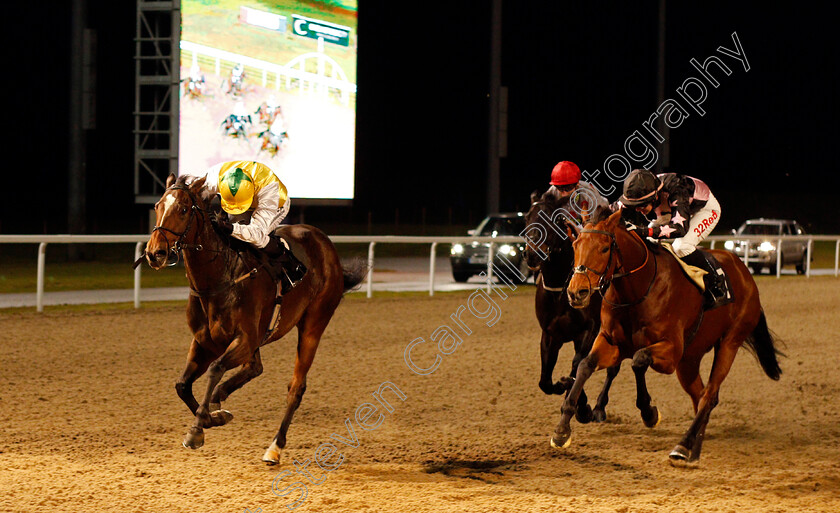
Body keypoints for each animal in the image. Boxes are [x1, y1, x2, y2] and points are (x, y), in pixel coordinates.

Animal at [144, 174, 364, 462]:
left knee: (296, 387)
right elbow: (182, 385)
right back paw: (221, 396)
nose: (154, 253)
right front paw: (215, 416)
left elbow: (215, 369)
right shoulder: (204, 342)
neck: (221, 276)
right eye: (157, 206)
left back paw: (275, 446)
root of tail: (327, 247)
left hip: (314, 324)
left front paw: (197, 430)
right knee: (256, 367)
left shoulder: (245, 339)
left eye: (182, 209)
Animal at [520, 190, 620, 422]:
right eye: (527, 217)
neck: (560, 289)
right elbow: (545, 381)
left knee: (613, 369)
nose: (532, 254)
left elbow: (577, 364)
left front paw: (581, 407)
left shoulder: (589, 329)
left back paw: (599, 408)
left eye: (554, 219)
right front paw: (566, 389)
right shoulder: (550, 334)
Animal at [552, 208, 780, 464]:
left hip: (729, 343)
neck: (638, 290)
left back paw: (682, 445)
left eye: (604, 248)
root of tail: (745, 273)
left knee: (709, 395)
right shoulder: (611, 342)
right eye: (575, 246)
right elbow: (585, 365)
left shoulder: (671, 352)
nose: (576, 292)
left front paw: (649, 412)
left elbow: (639, 360)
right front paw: (562, 430)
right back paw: (694, 449)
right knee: (700, 396)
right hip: (689, 360)